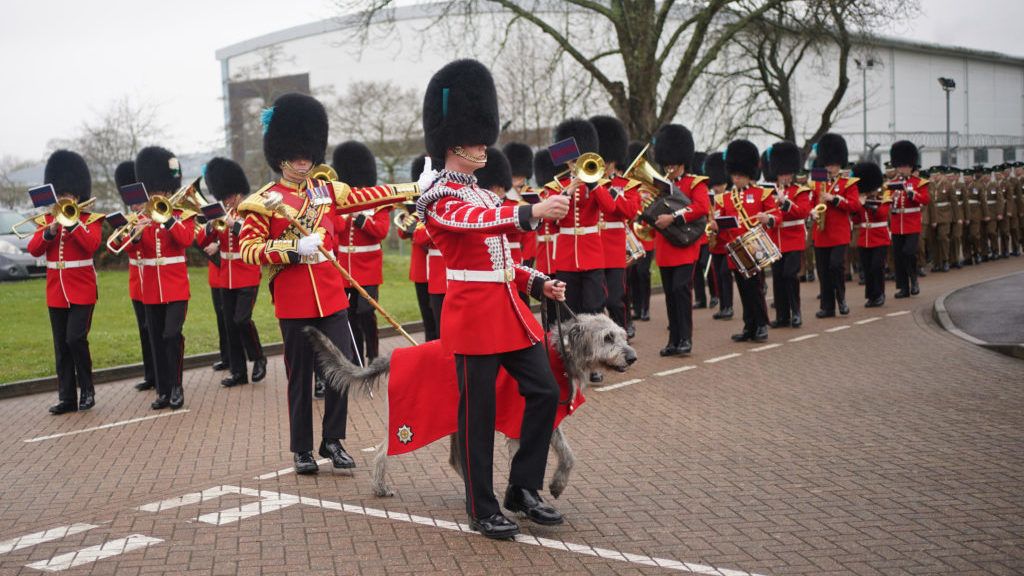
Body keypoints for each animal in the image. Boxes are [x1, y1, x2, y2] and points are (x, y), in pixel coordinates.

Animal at [307, 311, 634, 496]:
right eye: (607, 337)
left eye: (621, 334)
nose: (632, 357)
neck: (558, 355)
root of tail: (397, 354)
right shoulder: (522, 422)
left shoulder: (546, 421)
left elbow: (567, 455)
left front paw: (551, 486)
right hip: (413, 422)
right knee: (382, 451)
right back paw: (380, 487)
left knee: (456, 459)